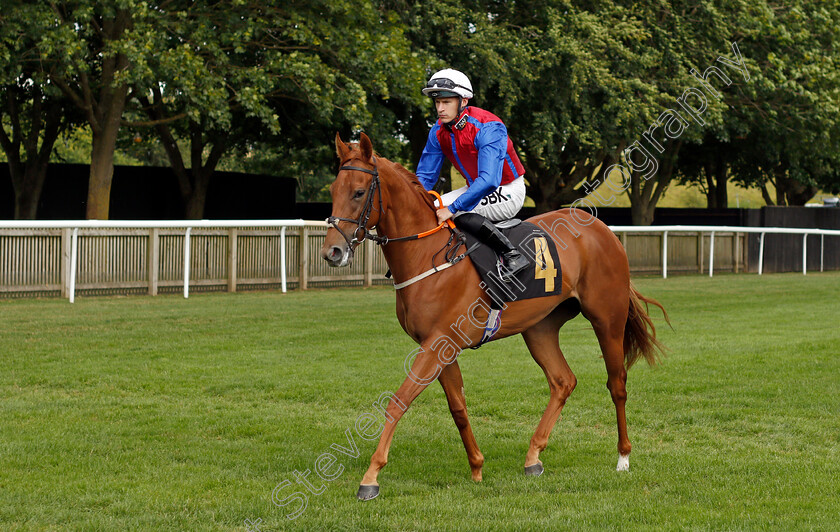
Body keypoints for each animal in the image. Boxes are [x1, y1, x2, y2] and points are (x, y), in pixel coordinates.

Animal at [322, 132, 668, 498]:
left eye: (359, 192)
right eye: (333, 190)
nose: (332, 252)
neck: (427, 256)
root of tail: (602, 229)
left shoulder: (436, 344)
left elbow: (398, 402)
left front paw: (371, 476)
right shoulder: (441, 347)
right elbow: (458, 407)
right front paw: (476, 467)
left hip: (607, 318)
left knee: (617, 383)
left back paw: (623, 457)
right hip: (540, 327)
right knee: (563, 381)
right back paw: (533, 457)